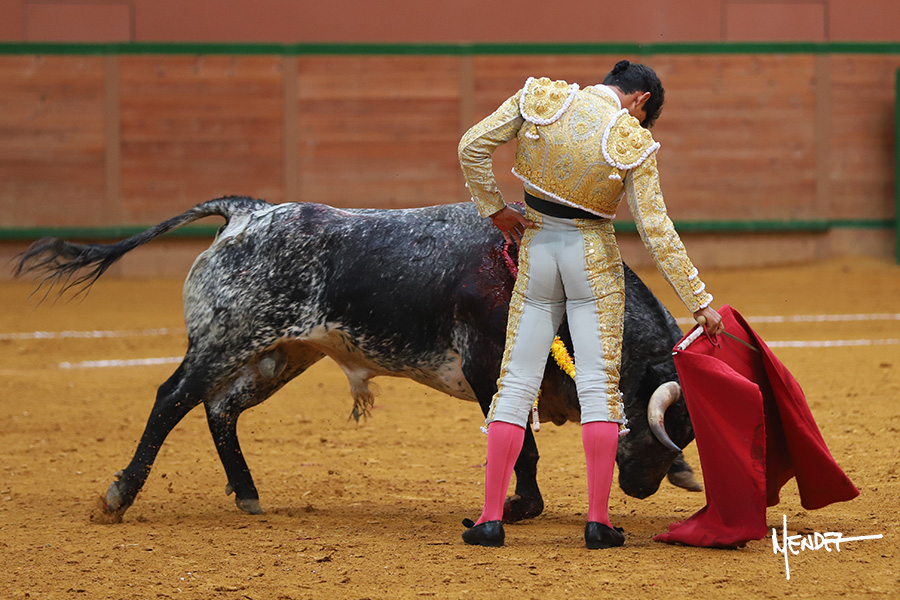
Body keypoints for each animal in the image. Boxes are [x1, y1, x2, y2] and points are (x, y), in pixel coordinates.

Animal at [15, 198, 700, 523]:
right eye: (665, 421)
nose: (641, 487)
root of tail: (248, 211)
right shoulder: (488, 366)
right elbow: (519, 443)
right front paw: (515, 508)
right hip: (224, 339)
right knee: (173, 398)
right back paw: (119, 495)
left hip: (280, 355)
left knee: (219, 410)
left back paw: (248, 495)